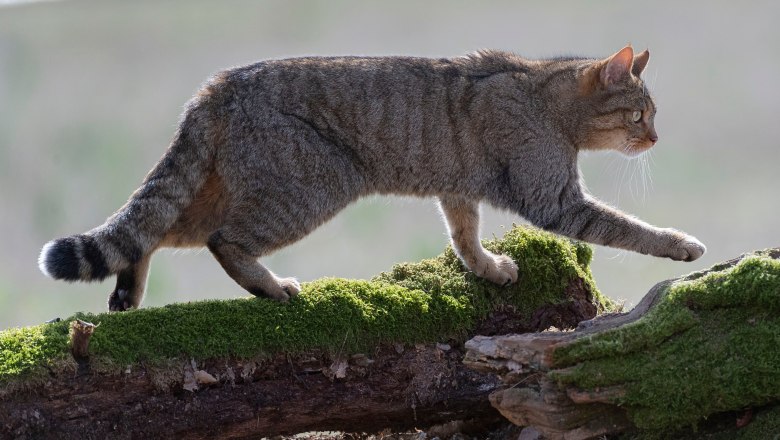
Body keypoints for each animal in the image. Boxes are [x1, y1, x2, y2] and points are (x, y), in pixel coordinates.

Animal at [38, 45, 708, 310]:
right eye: (640, 114)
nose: (654, 138)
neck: (546, 96)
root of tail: (215, 88)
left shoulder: (458, 189)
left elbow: (464, 237)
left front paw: (488, 269)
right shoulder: (554, 199)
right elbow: (626, 228)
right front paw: (680, 245)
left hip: (233, 184)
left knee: (154, 229)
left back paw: (128, 293)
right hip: (310, 184)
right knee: (220, 240)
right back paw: (271, 287)